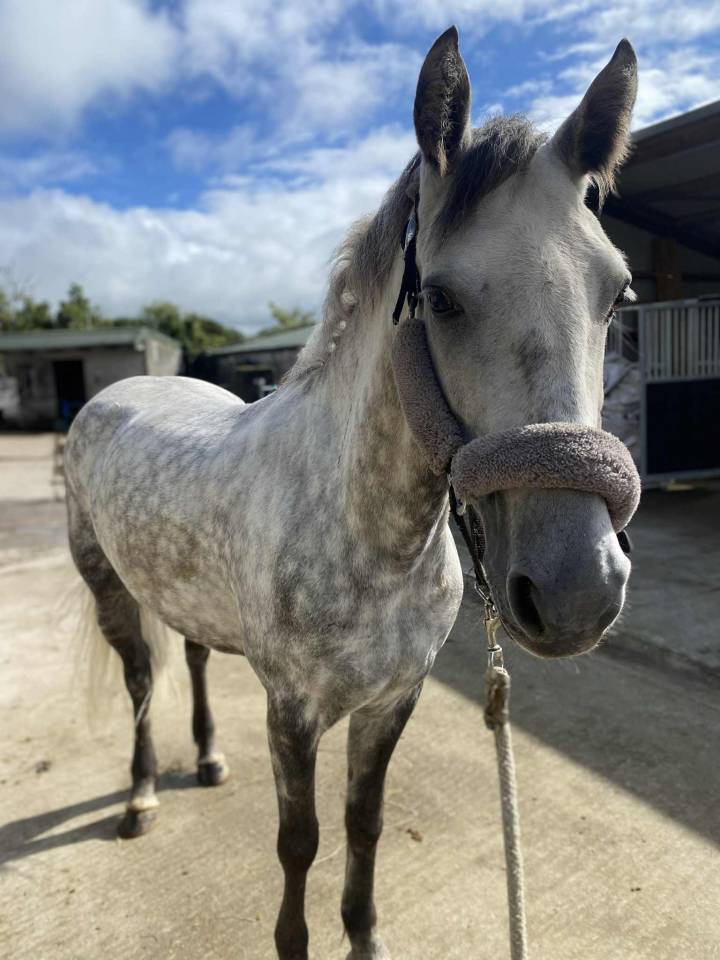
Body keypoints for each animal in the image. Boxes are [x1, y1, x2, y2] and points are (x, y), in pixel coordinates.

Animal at [64, 27, 639, 960]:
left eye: (617, 292)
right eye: (440, 297)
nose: (577, 591)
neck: (371, 535)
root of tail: (114, 394)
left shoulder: (391, 702)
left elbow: (363, 825)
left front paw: (364, 937)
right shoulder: (294, 713)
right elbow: (300, 842)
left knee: (191, 657)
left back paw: (209, 760)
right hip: (109, 588)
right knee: (141, 683)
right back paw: (142, 797)